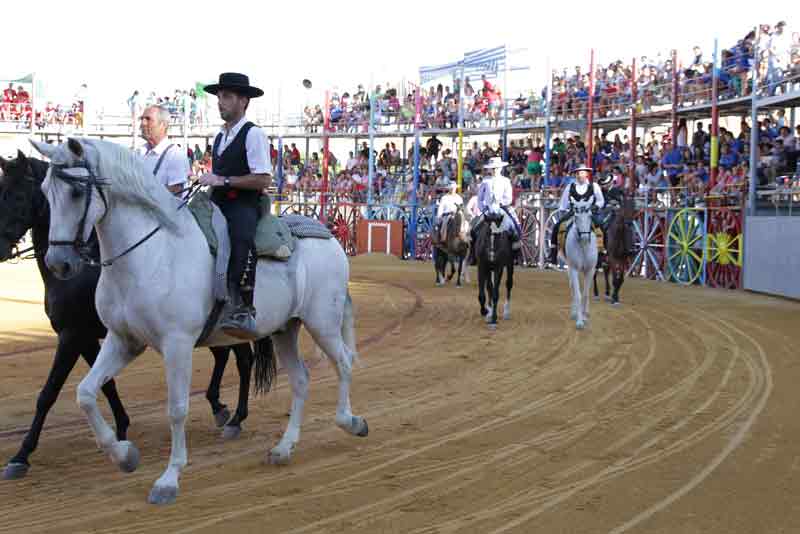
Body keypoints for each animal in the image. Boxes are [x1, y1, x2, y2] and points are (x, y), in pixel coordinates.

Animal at [30, 138, 368, 506]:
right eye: (44, 192)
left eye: (77, 192)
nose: (58, 263)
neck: (153, 253)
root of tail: (329, 237)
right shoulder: (122, 341)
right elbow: (86, 392)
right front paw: (124, 455)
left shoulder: (176, 344)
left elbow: (177, 408)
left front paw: (168, 480)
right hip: (285, 329)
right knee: (301, 379)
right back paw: (283, 447)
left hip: (322, 322)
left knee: (344, 362)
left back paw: (350, 421)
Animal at [560, 198, 596, 330]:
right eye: (576, 217)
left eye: (590, 216)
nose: (585, 237)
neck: (583, 246)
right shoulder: (574, 268)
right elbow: (578, 294)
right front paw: (579, 321)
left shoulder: (590, 270)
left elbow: (585, 294)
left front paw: (584, 317)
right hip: (569, 268)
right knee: (572, 289)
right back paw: (574, 313)